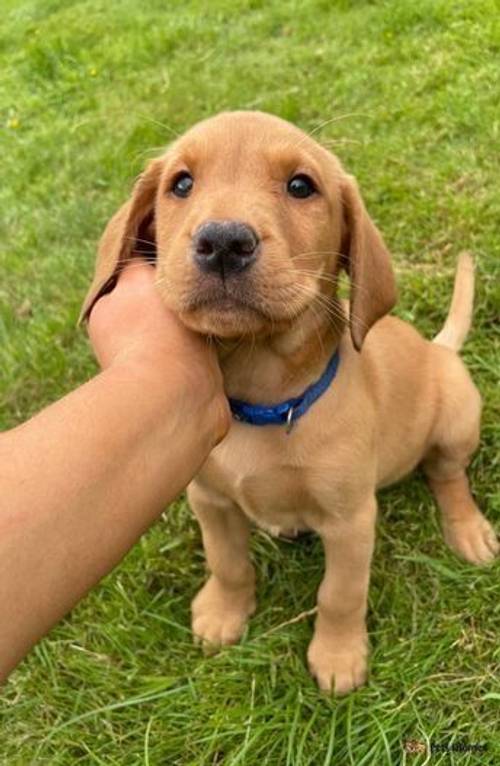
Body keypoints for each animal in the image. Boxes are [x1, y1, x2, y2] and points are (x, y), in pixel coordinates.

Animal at [81, 112, 496, 696]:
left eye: (301, 186)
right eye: (181, 184)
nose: (223, 241)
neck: (263, 400)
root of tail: (440, 349)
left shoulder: (351, 521)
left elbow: (340, 594)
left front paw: (339, 656)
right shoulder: (209, 498)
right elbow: (227, 562)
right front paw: (224, 613)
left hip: (458, 416)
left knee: (447, 474)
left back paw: (468, 529)